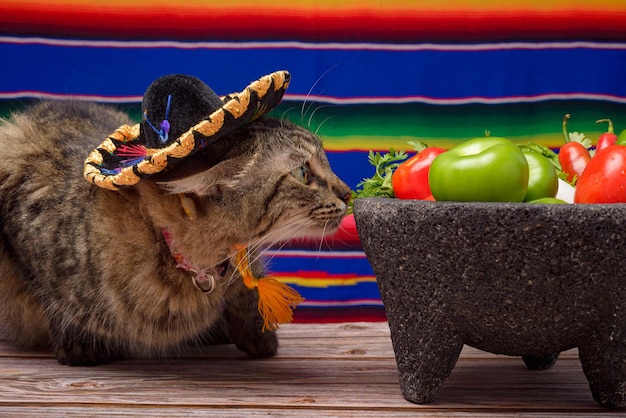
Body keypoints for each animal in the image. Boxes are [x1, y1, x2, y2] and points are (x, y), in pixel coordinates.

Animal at [0, 91, 348, 366]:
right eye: (303, 173)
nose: (347, 193)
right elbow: (52, 300)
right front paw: (79, 345)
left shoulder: (244, 258)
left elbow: (248, 291)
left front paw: (259, 336)